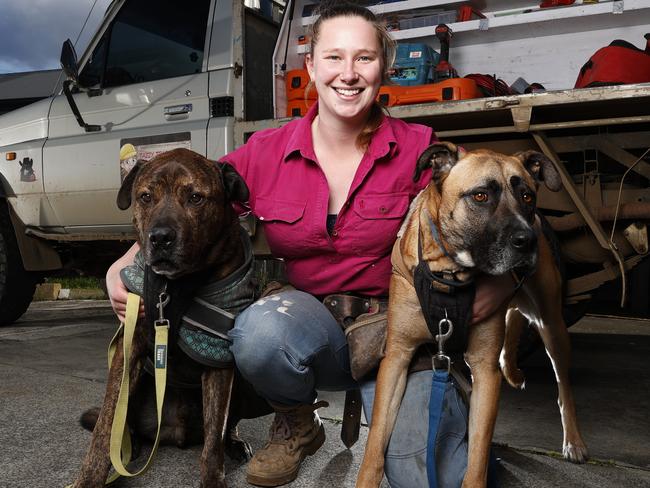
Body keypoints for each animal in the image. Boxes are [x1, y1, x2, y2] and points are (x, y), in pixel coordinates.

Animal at [72, 148, 270, 488]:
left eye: (195, 197)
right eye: (145, 196)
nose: (161, 237)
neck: (175, 287)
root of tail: (173, 433)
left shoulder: (218, 360)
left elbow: (215, 435)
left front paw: (213, 478)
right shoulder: (128, 352)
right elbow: (105, 427)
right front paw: (90, 477)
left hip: (240, 385)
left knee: (221, 429)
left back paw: (233, 443)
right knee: (124, 426)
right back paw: (131, 445)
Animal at [354, 143, 588, 486]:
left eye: (527, 196)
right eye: (480, 196)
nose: (528, 240)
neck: (449, 274)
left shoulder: (484, 371)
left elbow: (476, 458)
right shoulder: (397, 357)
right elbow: (374, 447)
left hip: (551, 324)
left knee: (563, 385)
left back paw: (574, 440)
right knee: (513, 318)